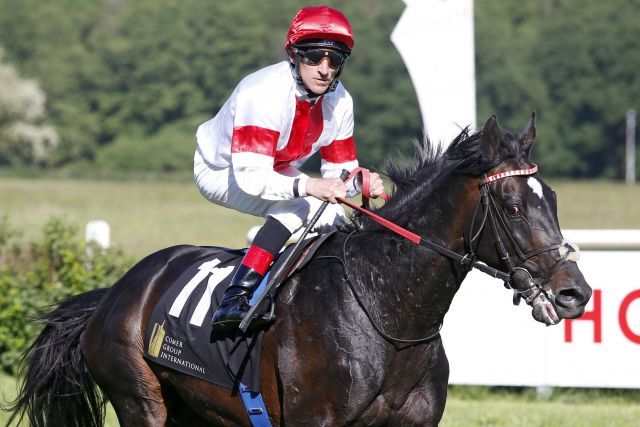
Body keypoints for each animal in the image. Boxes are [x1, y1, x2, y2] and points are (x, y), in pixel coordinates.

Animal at [8, 115, 592, 426]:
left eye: (553, 198)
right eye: (513, 206)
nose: (575, 294)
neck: (389, 315)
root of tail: (115, 292)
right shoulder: (315, 418)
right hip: (141, 402)